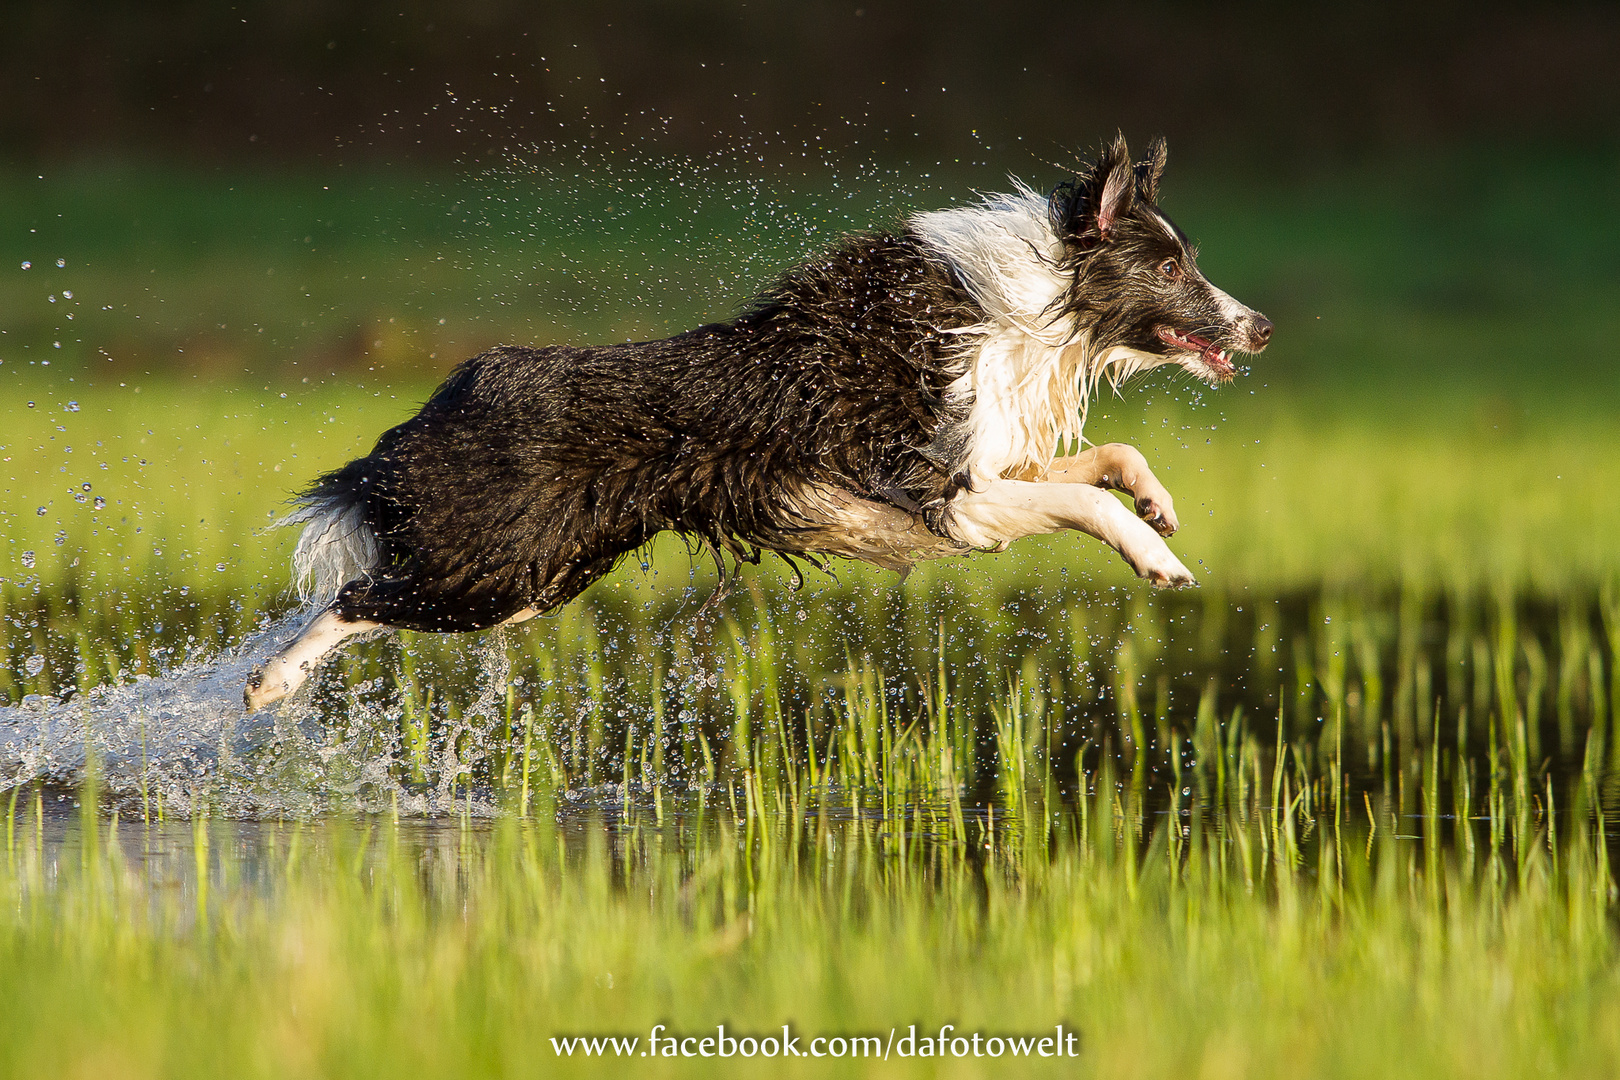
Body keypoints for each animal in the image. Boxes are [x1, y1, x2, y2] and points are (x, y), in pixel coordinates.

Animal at [246, 135, 1270, 709]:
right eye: (1170, 267)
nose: (1260, 326)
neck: (1028, 304)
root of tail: (438, 400)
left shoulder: (987, 472)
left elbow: (1109, 456)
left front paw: (1158, 504)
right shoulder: (950, 500)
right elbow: (1088, 505)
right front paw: (1159, 560)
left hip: (533, 577)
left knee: (371, 600)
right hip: (496, 564)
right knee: (353, 598)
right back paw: (264, 685)